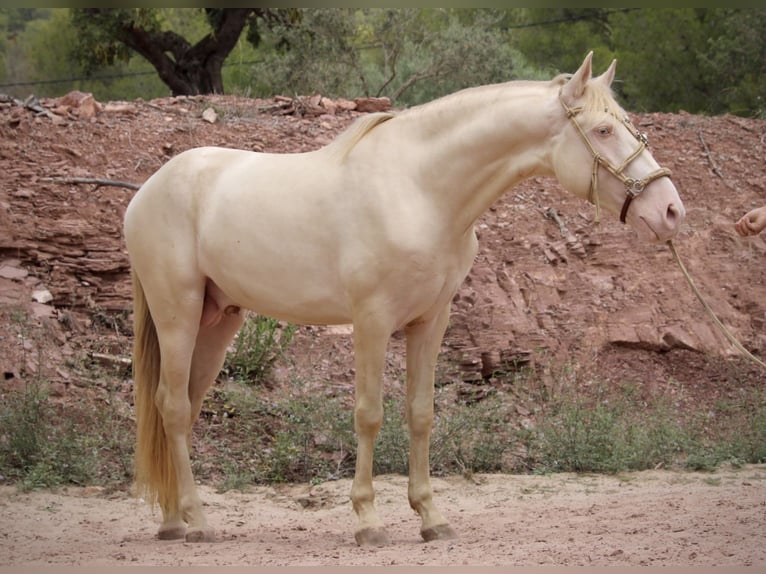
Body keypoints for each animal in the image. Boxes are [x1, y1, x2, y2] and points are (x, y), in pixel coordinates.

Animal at [123, 51, 688, 548]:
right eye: (603, 131)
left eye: (628, 124)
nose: (670, 211)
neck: (420, 189)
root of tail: (147, 190)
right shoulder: (372, 321)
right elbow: (369, 414)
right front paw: (368, 521)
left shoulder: (431, 321)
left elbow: (420, 414)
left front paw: (431, 518)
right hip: (178, 316)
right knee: (173, 408)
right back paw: (197, 523)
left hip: (217, 321)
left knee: (184, 407)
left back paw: (173, 521)